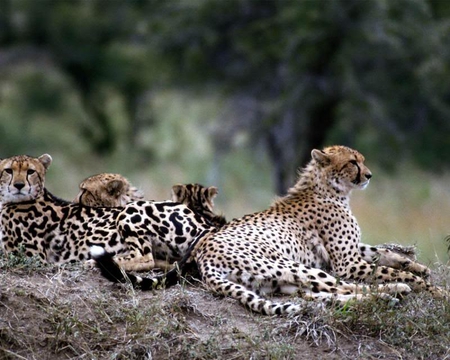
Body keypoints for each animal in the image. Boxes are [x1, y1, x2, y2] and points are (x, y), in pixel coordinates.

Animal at [0, 154, 216, 270]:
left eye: (31, 171)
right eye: (8, 170)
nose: (19, 186)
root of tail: (204, 223)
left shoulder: (32, 256)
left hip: (130, 213)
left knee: (144, 258)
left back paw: (94, 262)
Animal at [93, 146, 444, 316]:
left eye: (362, 161)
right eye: (352, 162)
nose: (369, 175)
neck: (329, 187)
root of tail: (203, 257)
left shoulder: (352, 253)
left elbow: (383, 252)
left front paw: (415, 263)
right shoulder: (345, 263)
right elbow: (384, 267)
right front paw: (435, 290)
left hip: (277, 282)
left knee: (324, 295)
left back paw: (384, 296)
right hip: (292, 267)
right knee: (343, 288)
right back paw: (393, 292)